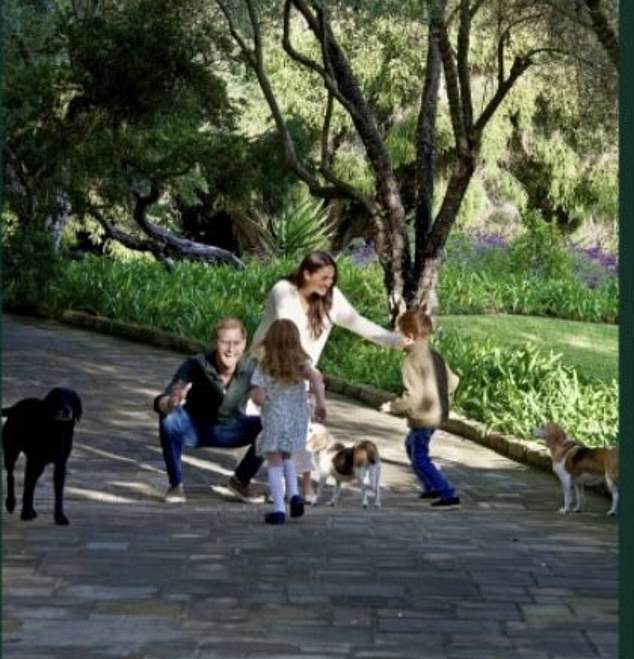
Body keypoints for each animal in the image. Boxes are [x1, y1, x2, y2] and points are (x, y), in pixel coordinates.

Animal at [2, 386, 81, 524]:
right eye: (58, 399)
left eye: (71, 400)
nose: (67, 410)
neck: (57, 430)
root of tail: (14, 406)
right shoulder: (33, 461)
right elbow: (27, 488)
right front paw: (25, 513)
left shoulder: (60, 464)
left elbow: (58, 493)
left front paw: (60, 517)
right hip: (11, 453)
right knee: (11, 476)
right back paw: (11, 503)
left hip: (39, 466)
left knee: (32, 483)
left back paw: (31, 510)